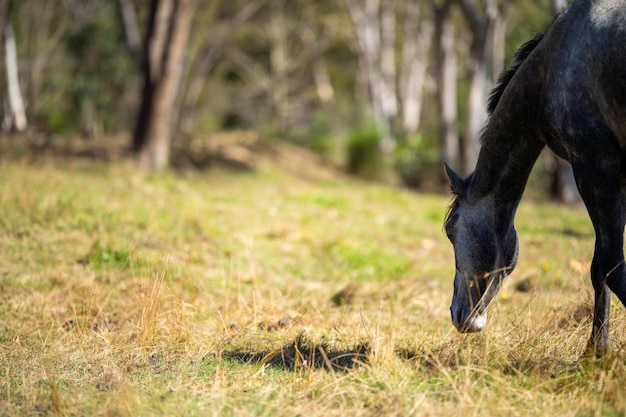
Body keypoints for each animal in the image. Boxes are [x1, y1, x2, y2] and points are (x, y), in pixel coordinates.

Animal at [442, 0, 624, 354]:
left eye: (450, 230)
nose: (459, 315)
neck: (552, 63)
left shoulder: (595, 169)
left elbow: (606, 266)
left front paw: (595, 352)